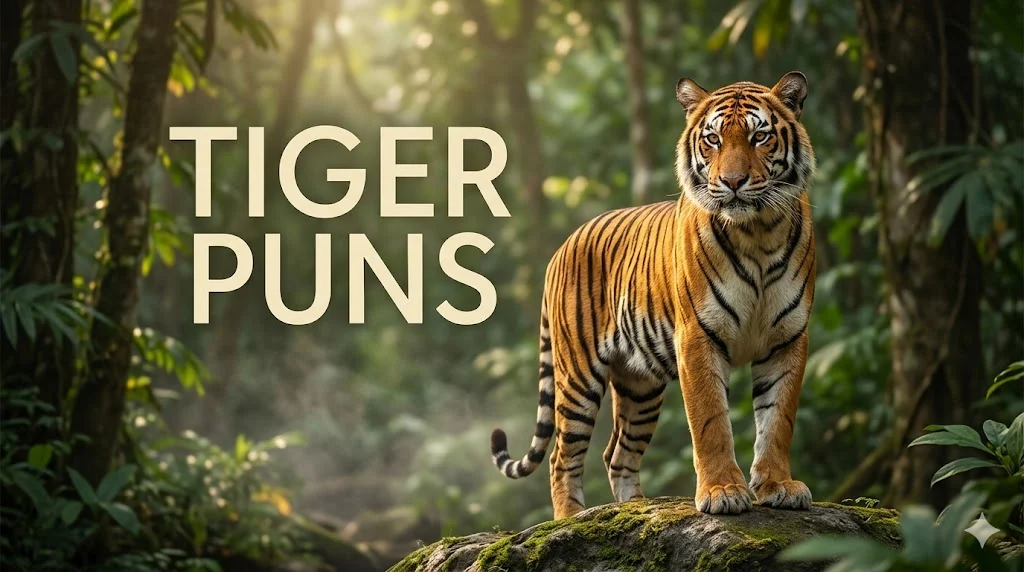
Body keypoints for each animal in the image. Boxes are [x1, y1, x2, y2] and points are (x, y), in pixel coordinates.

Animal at [489, 72, 816, 519]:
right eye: (713, 139)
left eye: (759, 136)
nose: (732, 183)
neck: (758, 233)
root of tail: (562, 246)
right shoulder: (698, 336)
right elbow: (711, 421)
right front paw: (723, 492)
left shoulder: (787, 338)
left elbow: (777, 420)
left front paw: (778, 486)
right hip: (577, 376)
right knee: (562, 456)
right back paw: (569, 519)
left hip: (639, 385)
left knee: (617, 454)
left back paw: (636, 510)